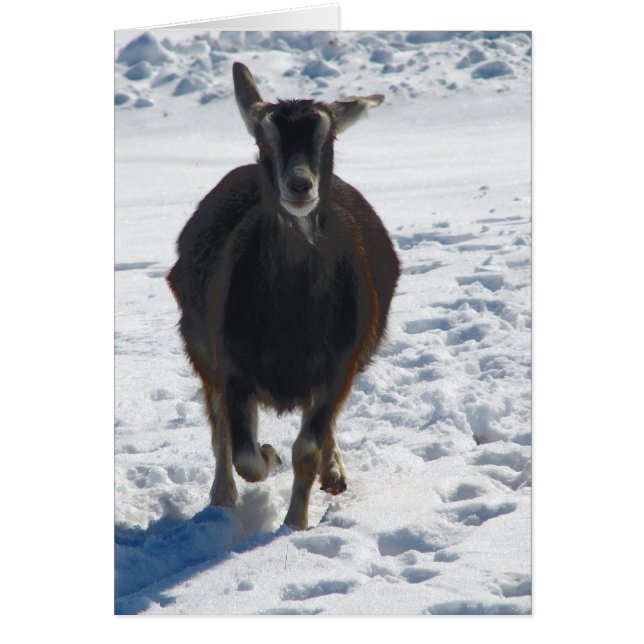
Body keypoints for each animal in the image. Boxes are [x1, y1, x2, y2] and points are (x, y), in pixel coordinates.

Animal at [167, 62, 400, 530]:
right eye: (264, 140)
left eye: (328, 138)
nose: (299, 185)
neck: (291, 325)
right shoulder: (232, 364)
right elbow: (243, 454)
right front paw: (268, 455)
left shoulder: (337, 365)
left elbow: (307, 448)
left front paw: (296, 523)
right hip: (199, 346)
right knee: (218, 428)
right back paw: (222, 496)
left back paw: (334, 471)